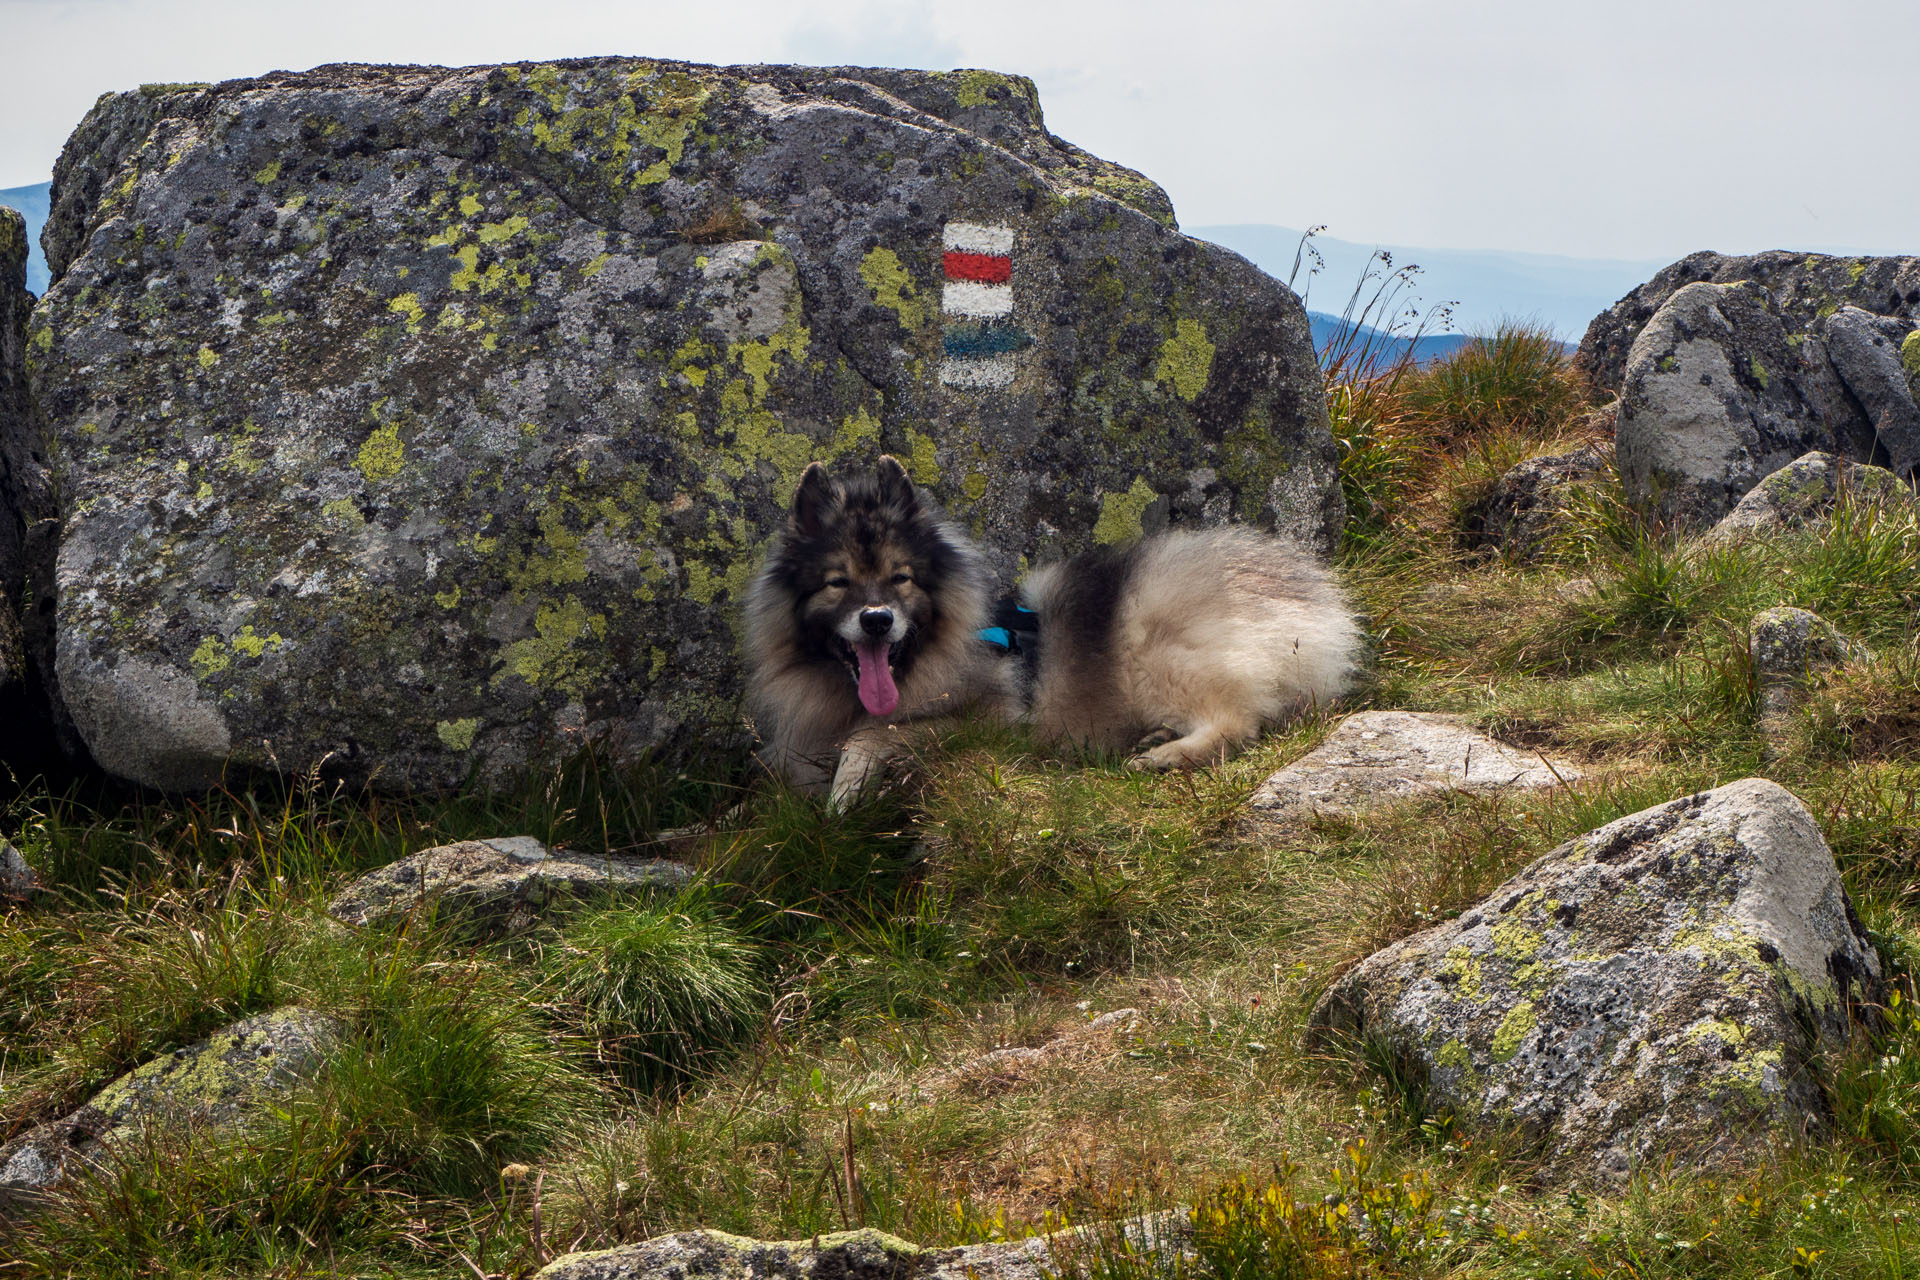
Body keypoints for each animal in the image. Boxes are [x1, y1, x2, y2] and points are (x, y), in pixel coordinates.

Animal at [741, 454, 1359, 805]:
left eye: (901, 578)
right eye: (837, 582)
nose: (877, 620)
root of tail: (1317, 603)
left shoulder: (993, 721)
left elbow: (873, 736)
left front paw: (846, 790)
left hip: (1154, 648)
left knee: (1239, 722)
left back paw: (1164, 757)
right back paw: (1159, 739)